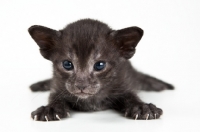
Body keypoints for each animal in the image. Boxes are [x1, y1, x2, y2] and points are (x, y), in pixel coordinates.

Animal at [28, 18, 173, 121]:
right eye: (67, 64)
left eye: (100, 65)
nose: (81, 86)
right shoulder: (57, 87)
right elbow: (55, 98)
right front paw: (50, 109)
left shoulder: (125, 83)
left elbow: (131, 96)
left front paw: (142, 108)